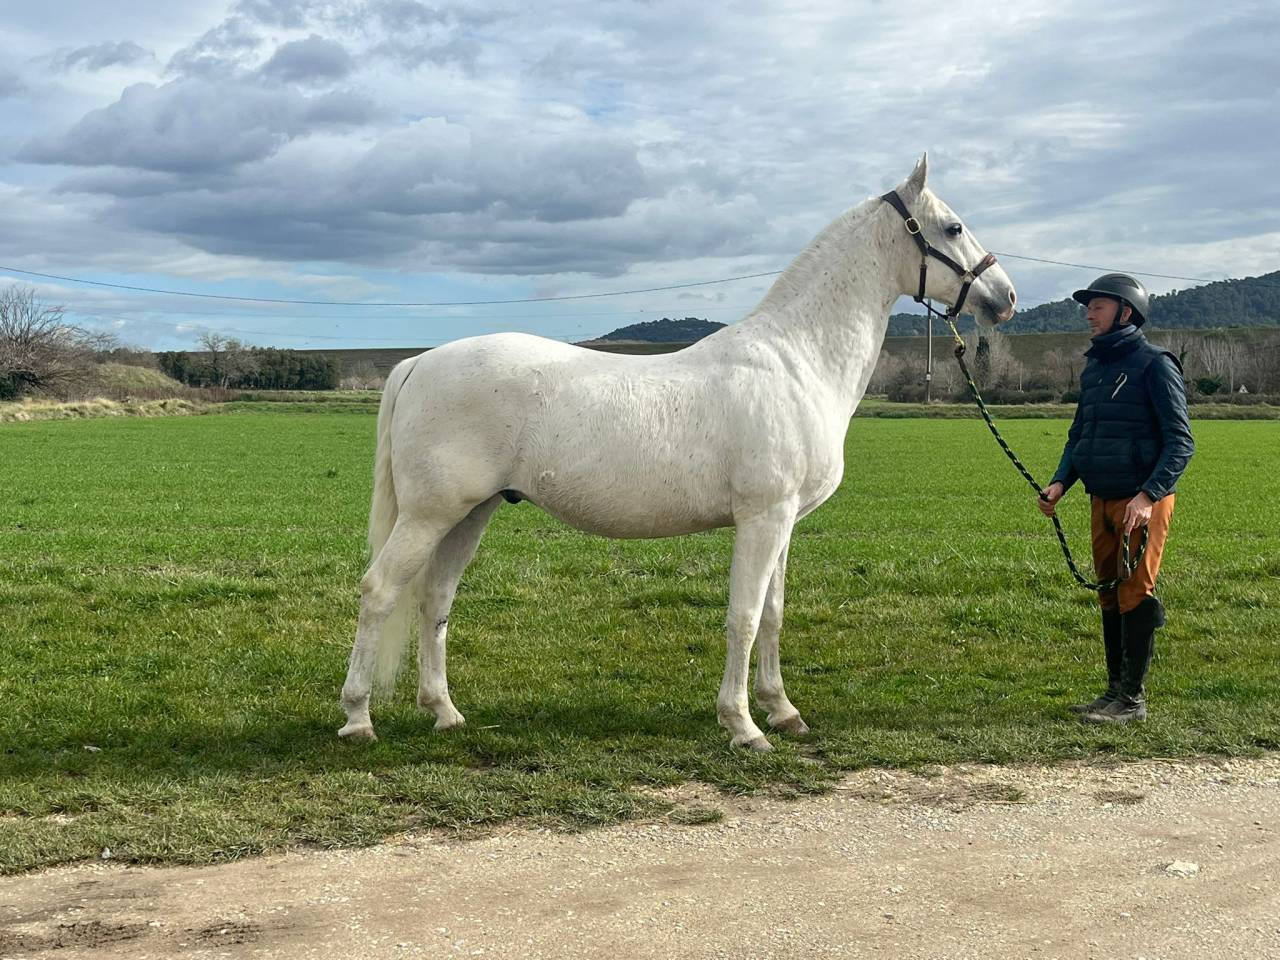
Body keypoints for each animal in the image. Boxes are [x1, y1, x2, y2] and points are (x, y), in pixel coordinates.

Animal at [339, 155, 1017, 750]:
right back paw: (358, 719)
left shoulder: (784, 521)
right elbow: (744, 617)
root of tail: (419, 362)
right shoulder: (762, 517)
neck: (797, 361)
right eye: (953, 227)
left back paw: (445, 712)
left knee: (435, 600)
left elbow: (773, 614)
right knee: (380, 591)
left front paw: (783, 711)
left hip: (470, 514)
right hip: (429, 514)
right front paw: (743, 726)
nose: (1005, 297)